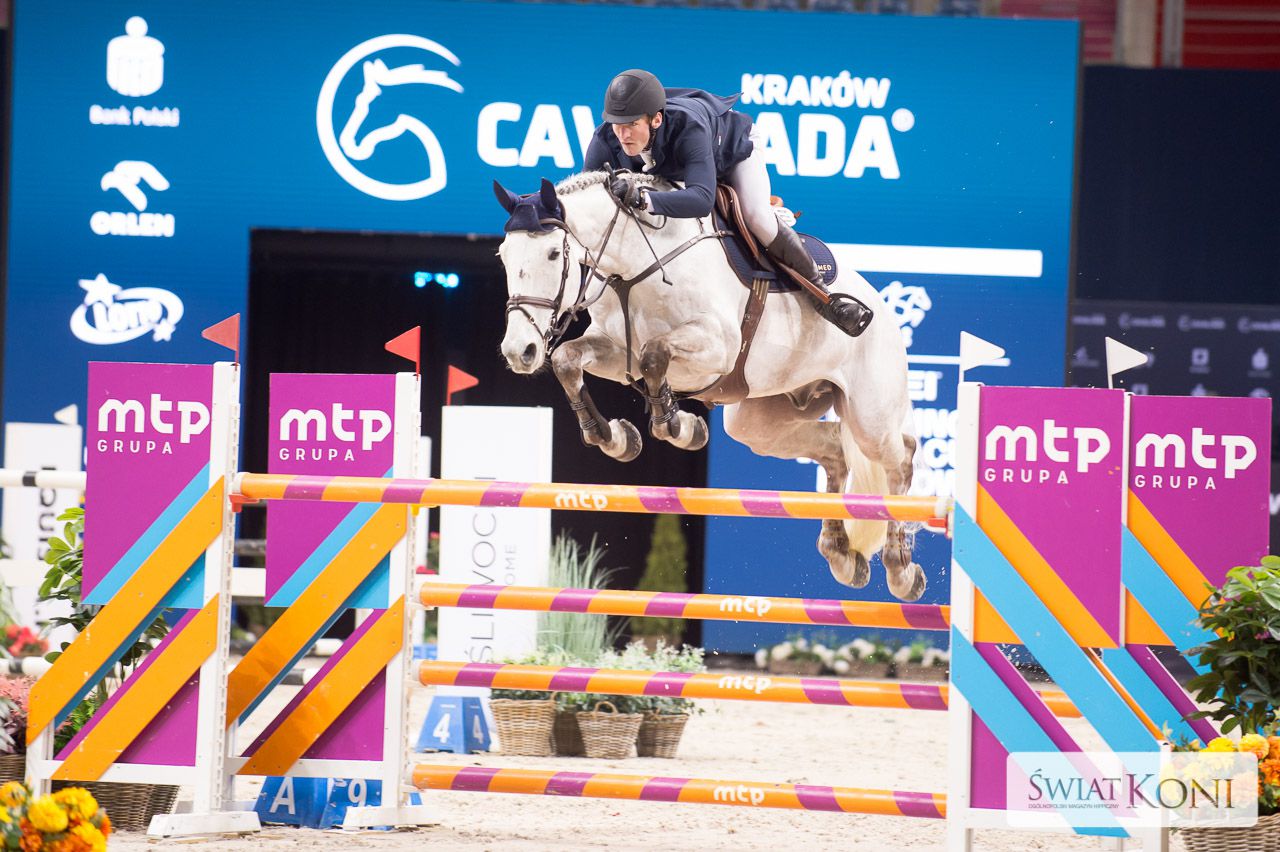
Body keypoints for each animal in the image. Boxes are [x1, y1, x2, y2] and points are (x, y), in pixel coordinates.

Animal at [493, 172, 925, 601]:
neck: (634, 265)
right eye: (504, 255)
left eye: (553, 254)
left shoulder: (717, 347)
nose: (519, 351)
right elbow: (569, 359)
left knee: (901, 458)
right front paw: (615, 437)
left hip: (870, 416)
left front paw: (677, 426)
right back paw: (842, 555)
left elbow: (654, 354)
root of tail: (881, 305)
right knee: (835, 451)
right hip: (762, 420)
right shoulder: (616, 351)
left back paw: (900, 569)